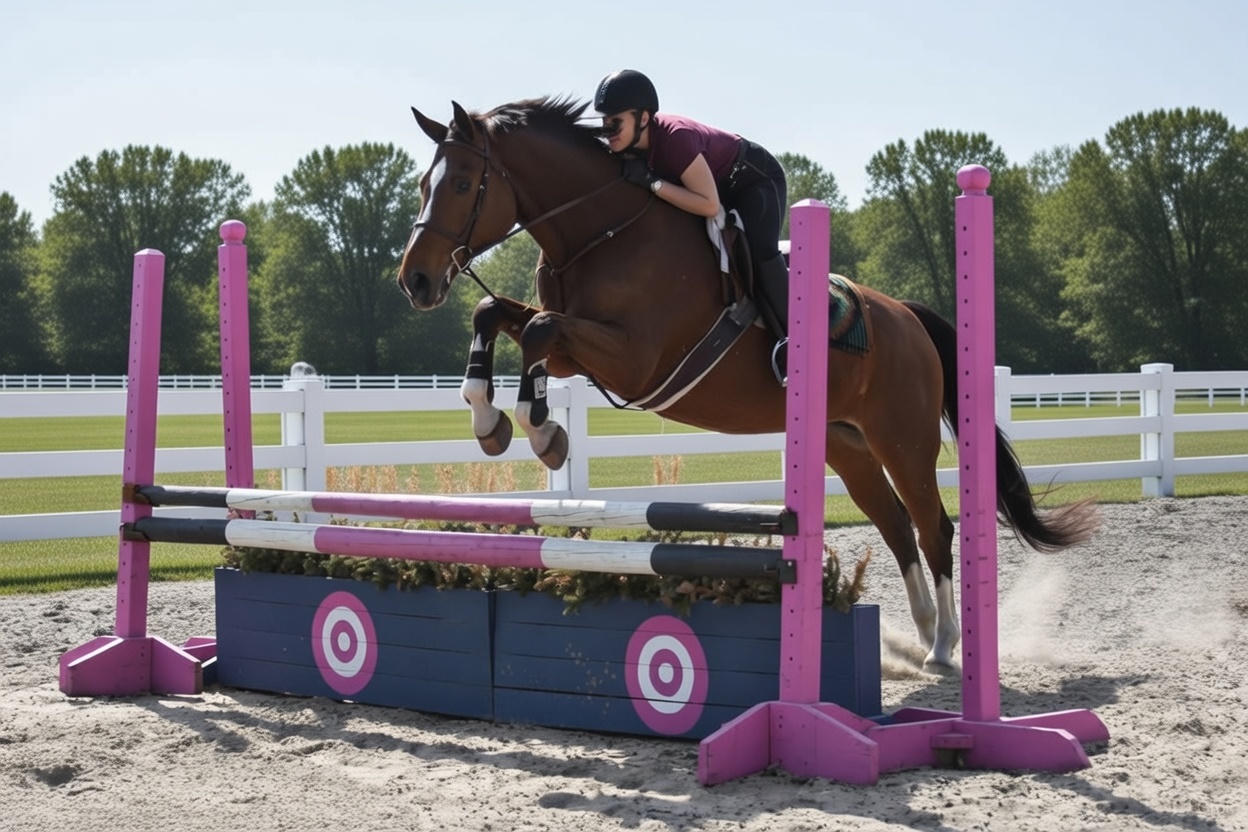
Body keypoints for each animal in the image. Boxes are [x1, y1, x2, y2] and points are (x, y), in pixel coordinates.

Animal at [396, 97, 1097, 669]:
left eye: (462, 183)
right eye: (425, 183)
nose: (416, 281)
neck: (601, 229)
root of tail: (907, 316)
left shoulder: (631, 359)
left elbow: (538, 332)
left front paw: (542, 434)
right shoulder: (581, 353)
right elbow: (496, 315)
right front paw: (489, 421)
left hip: (903, 440)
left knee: (933, 528)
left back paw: (946, 646)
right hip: (846, 445)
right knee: (897, 529)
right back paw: (923, 633)